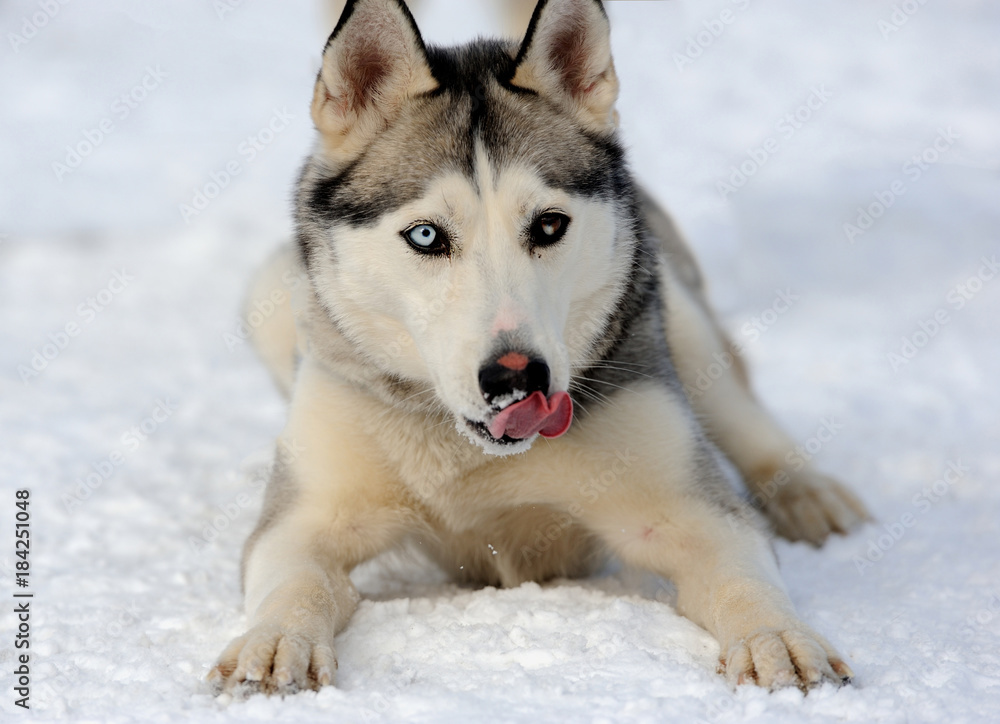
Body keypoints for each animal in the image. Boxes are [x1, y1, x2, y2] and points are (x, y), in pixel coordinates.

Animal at [209, 0, 868, 696]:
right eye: (425, 235)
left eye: (549, 224)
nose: (515, 377)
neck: (473, 455)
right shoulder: (304, 517)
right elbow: (294, 577)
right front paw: (274, 641)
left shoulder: (690, 510)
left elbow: (742, 571)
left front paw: (779, 637)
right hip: (270, 296)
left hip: (675, 315)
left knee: (740, 412)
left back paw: (809, 495)